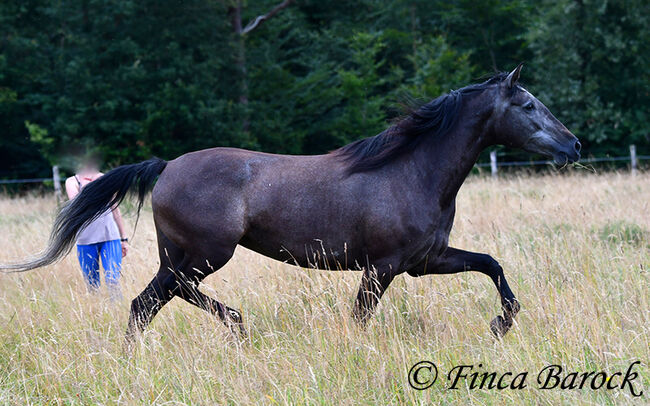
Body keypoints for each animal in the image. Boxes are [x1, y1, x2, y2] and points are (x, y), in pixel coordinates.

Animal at [0, 65, 576, 348]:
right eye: (528, 105)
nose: (573, 146)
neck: (413, 170)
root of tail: (166, 167)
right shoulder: (384, 266)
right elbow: (360, 317)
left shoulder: (425, 261)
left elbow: (492, 265)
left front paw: (501, 324)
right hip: (207, 252)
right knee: (160, 298)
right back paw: (236, 326)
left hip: (184, 255)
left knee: (151, 302)